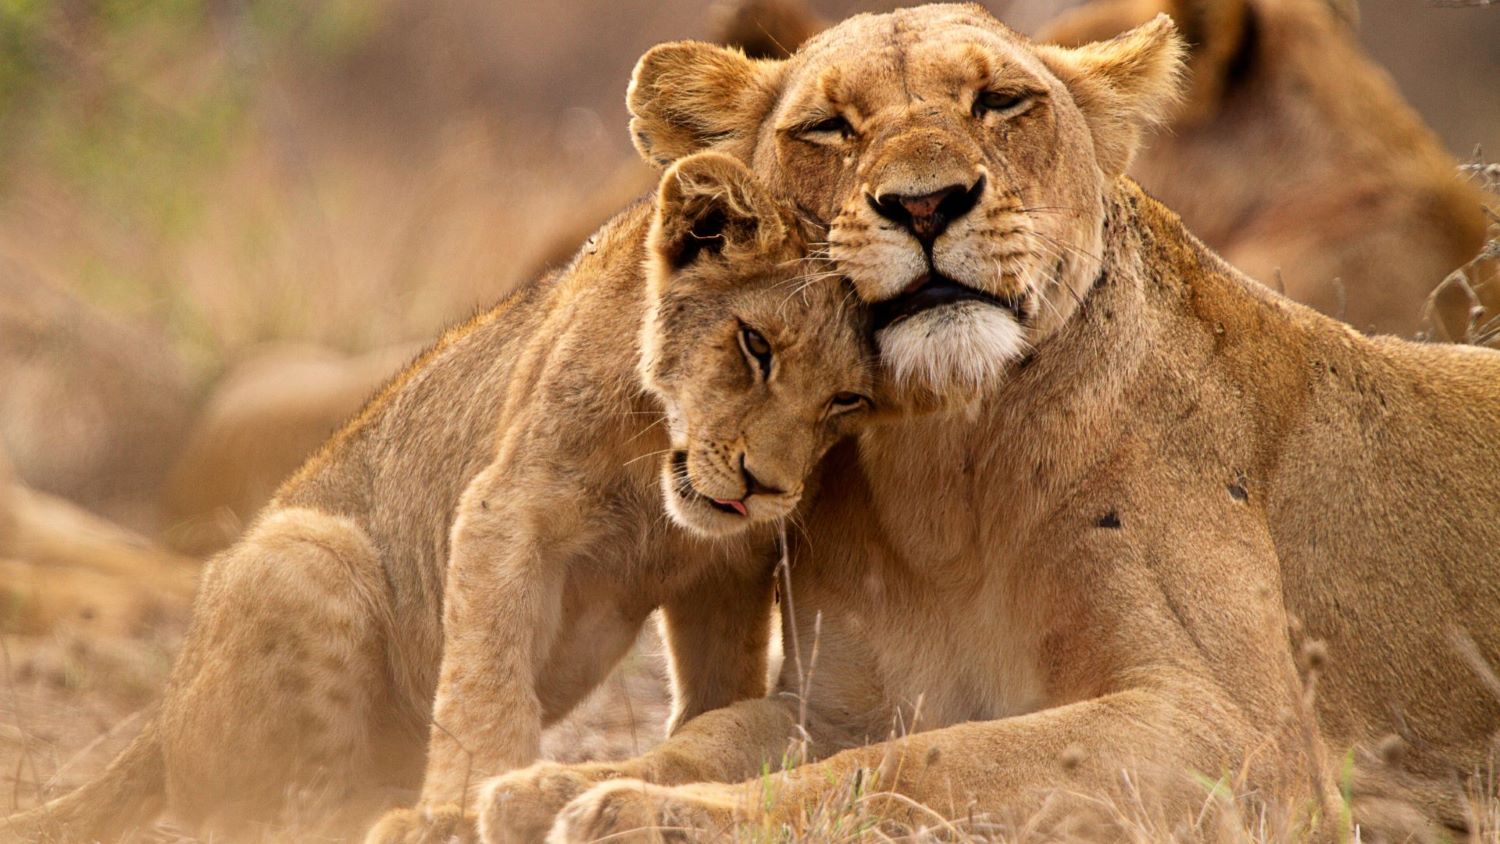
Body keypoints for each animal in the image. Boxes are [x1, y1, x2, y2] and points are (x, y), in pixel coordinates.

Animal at [480, 4, 1500, 839]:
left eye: (1001, 102)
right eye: (829, 127)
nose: (925, 203)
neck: (946, 467)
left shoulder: (1242, 736)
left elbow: (926, 761)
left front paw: (644, 816)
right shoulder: (832, 703)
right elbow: (716, 735)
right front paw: (557, 786)